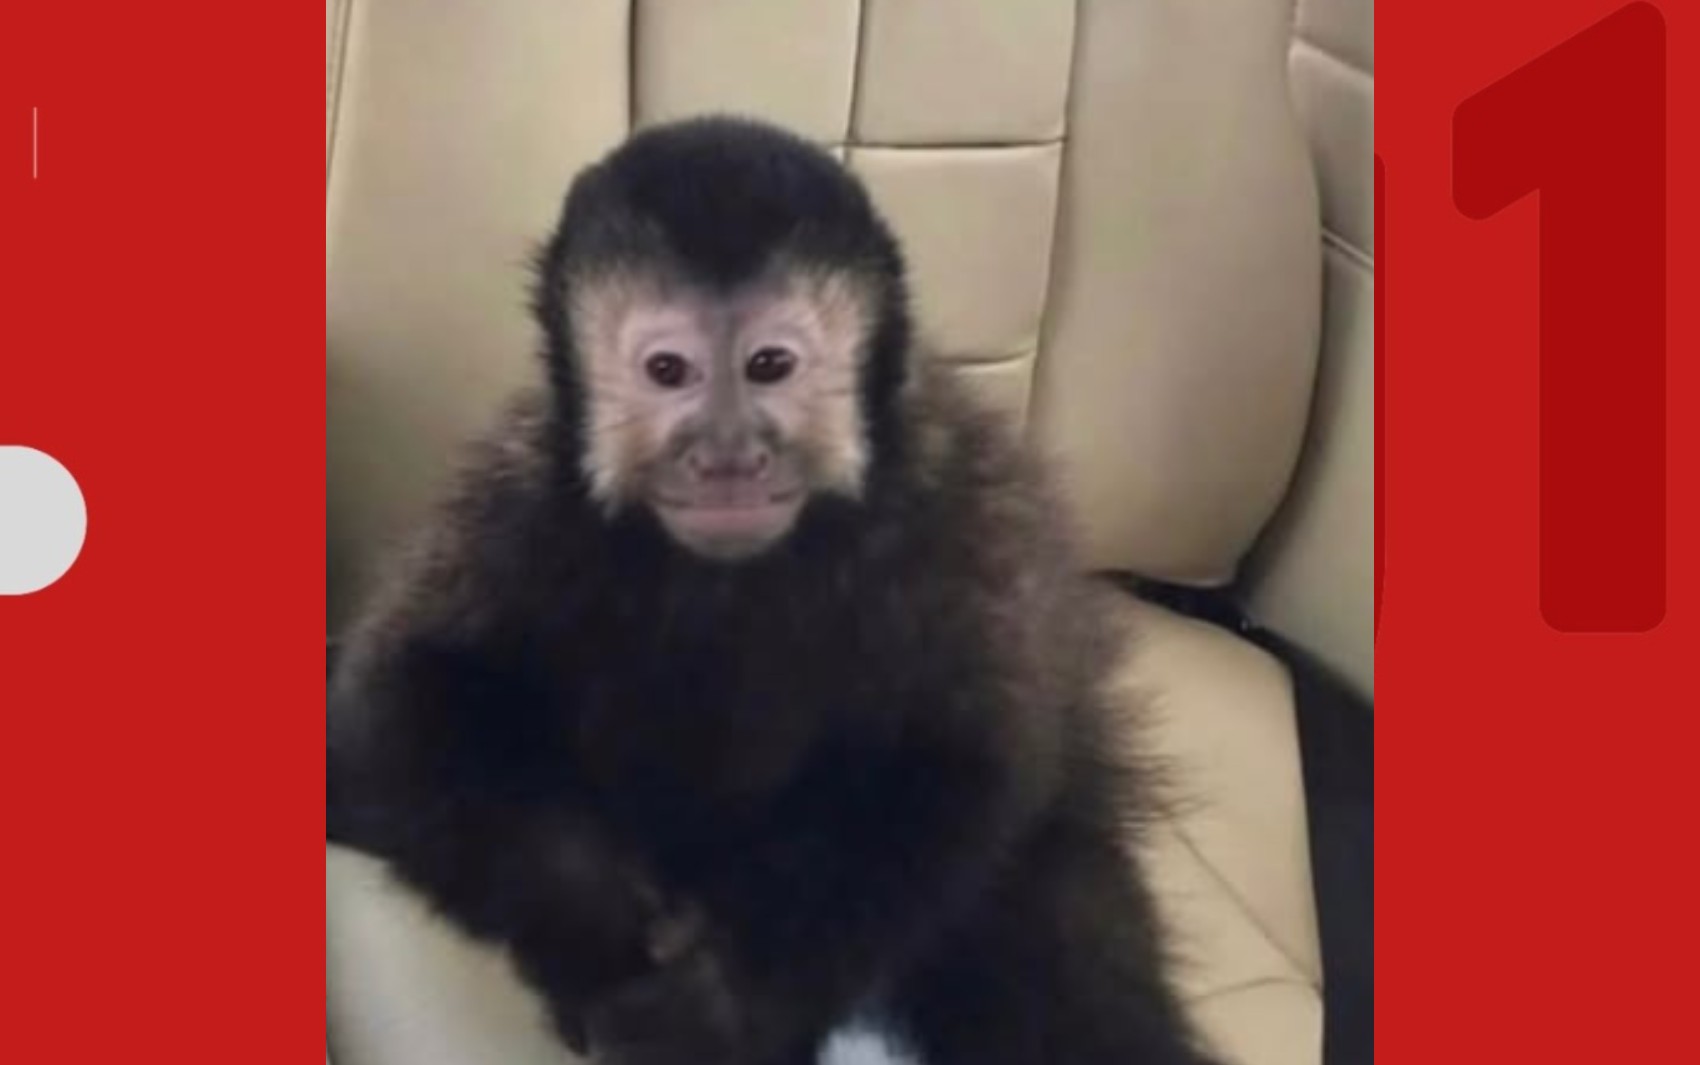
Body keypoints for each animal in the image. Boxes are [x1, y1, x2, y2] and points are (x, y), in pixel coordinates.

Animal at [327, 114, 1225, 1065]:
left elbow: (961, 759)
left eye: (769, 365)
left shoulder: (963, 507)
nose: (727, 455)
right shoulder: (519, 497)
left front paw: (723, 1000)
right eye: (669, 371)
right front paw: (599, 930)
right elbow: (400, 700)